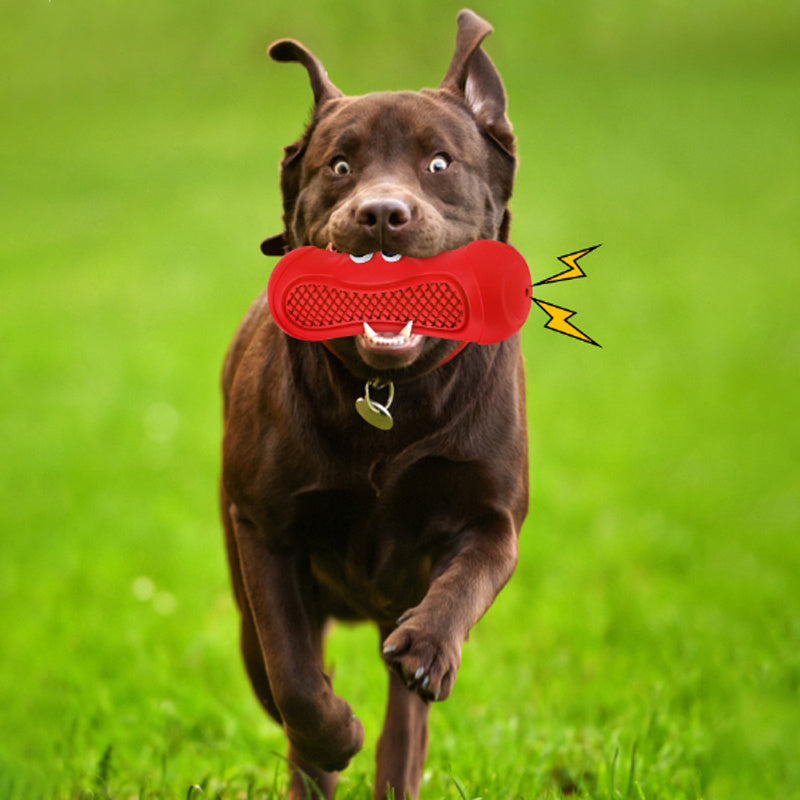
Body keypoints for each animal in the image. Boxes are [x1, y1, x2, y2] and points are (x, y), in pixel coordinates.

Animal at [222, 7, 528, 800]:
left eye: (440, 164)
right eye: (339, 166)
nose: (382, 214)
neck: (392, 389)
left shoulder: (493, 517)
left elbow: (464, 584)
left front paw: (429, 648)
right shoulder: (265, 530)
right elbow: (296, 678)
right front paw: (335, 735)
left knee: (404, 723)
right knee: (276, 677)